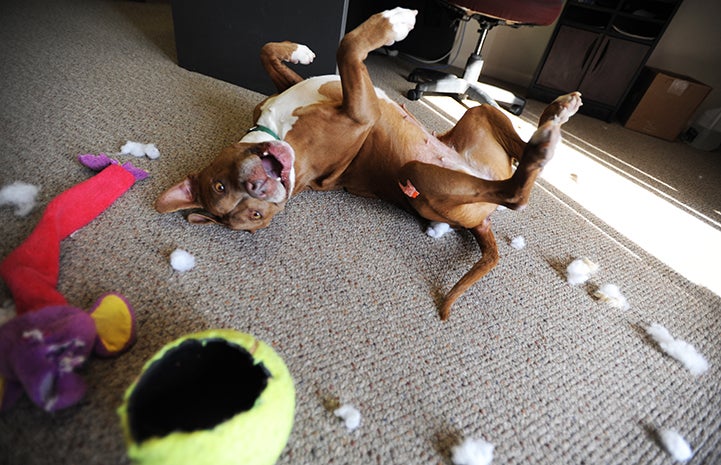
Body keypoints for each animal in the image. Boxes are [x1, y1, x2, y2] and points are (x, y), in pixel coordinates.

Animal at [155, 7, 584, 320]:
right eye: (253, 216)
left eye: (220, 186)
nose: (261, 189)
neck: (277, 132)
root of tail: (482, 221)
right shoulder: (360, 111)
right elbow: (348, 45)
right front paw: (392, 24)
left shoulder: (299, 90)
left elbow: (268, 50)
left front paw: (298, 49)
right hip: (419, 177)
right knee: (515, 191)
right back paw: (545, 141)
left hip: (479, 117)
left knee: (506, 135)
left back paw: (557, 113)